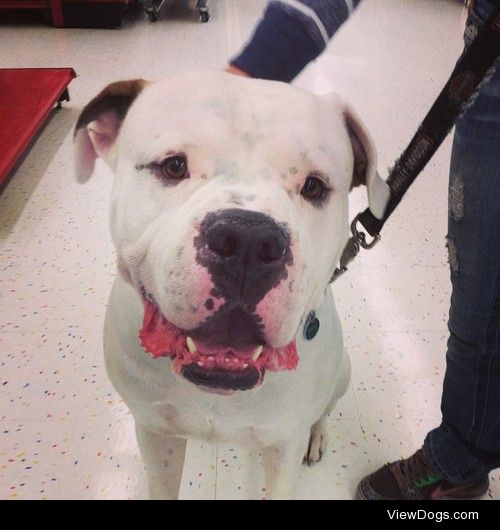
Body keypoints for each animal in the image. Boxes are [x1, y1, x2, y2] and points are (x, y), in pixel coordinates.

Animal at [72, 69, 388, 496]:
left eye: (314, 186)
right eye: (173, 166)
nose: (249, 241)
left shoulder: (283, 446)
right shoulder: (155, 434)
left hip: (343, 371)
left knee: (323, 409)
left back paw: (317, 434)